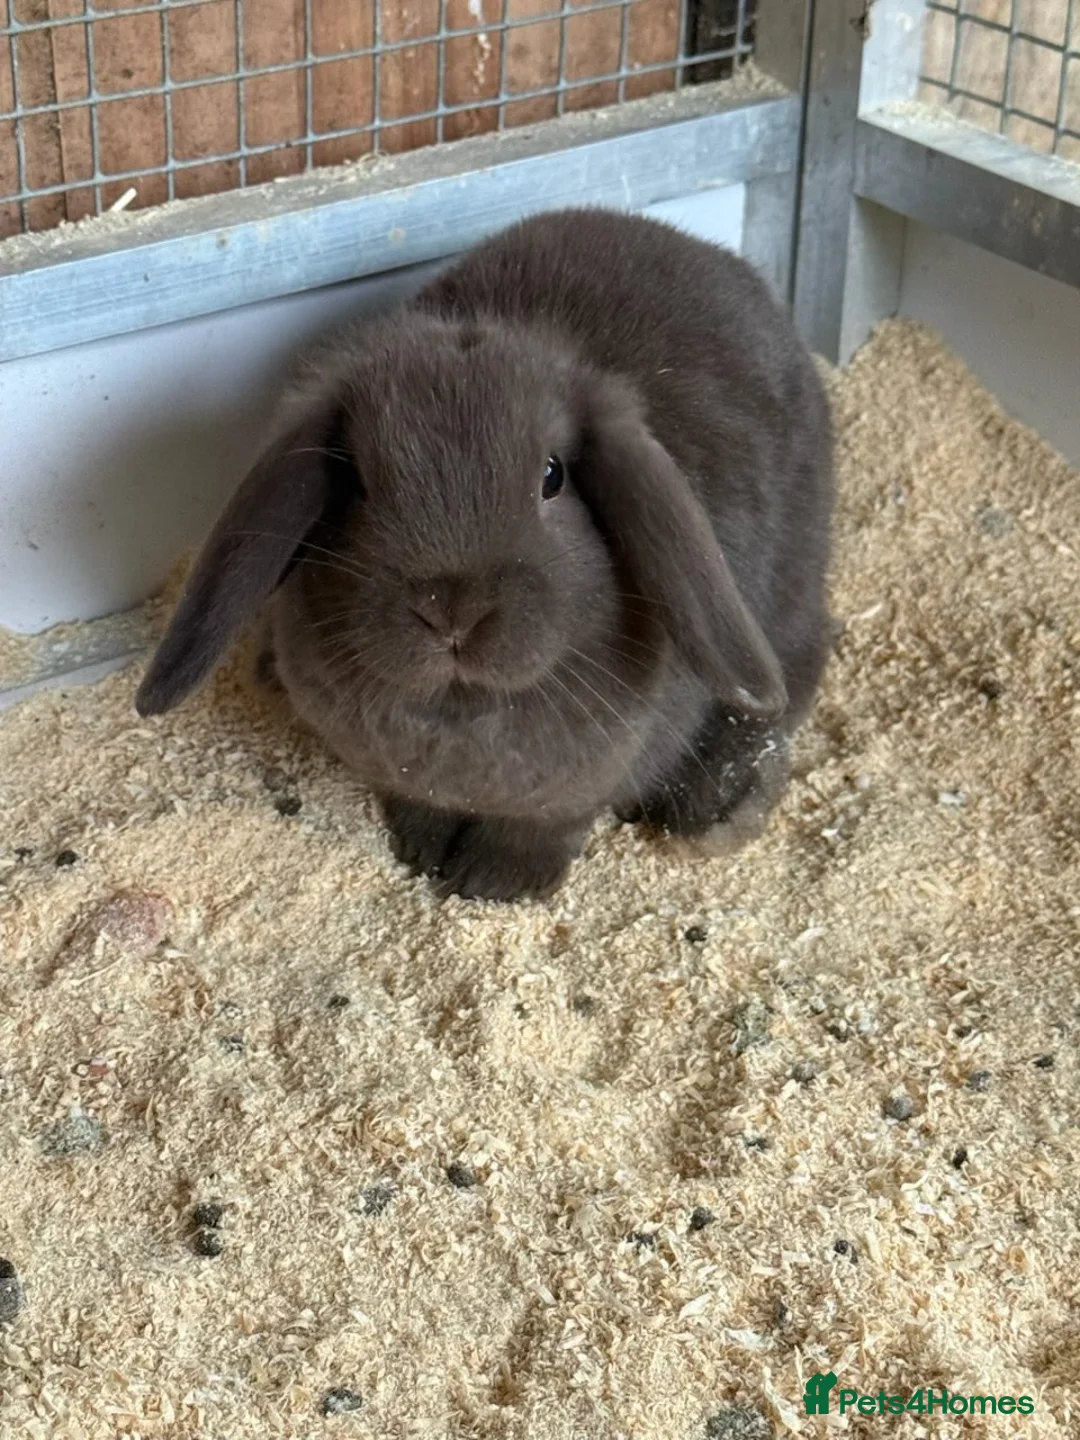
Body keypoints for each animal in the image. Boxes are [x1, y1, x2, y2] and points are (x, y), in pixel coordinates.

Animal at [135, 206, 833, 902]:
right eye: (355, 480)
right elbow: (418, 808)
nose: (452, 610)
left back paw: (720, 807)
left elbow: (545, 829)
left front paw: (497, 882)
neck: (461, 717)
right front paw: (421, 850)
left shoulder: (572, 796)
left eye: (552, 476)